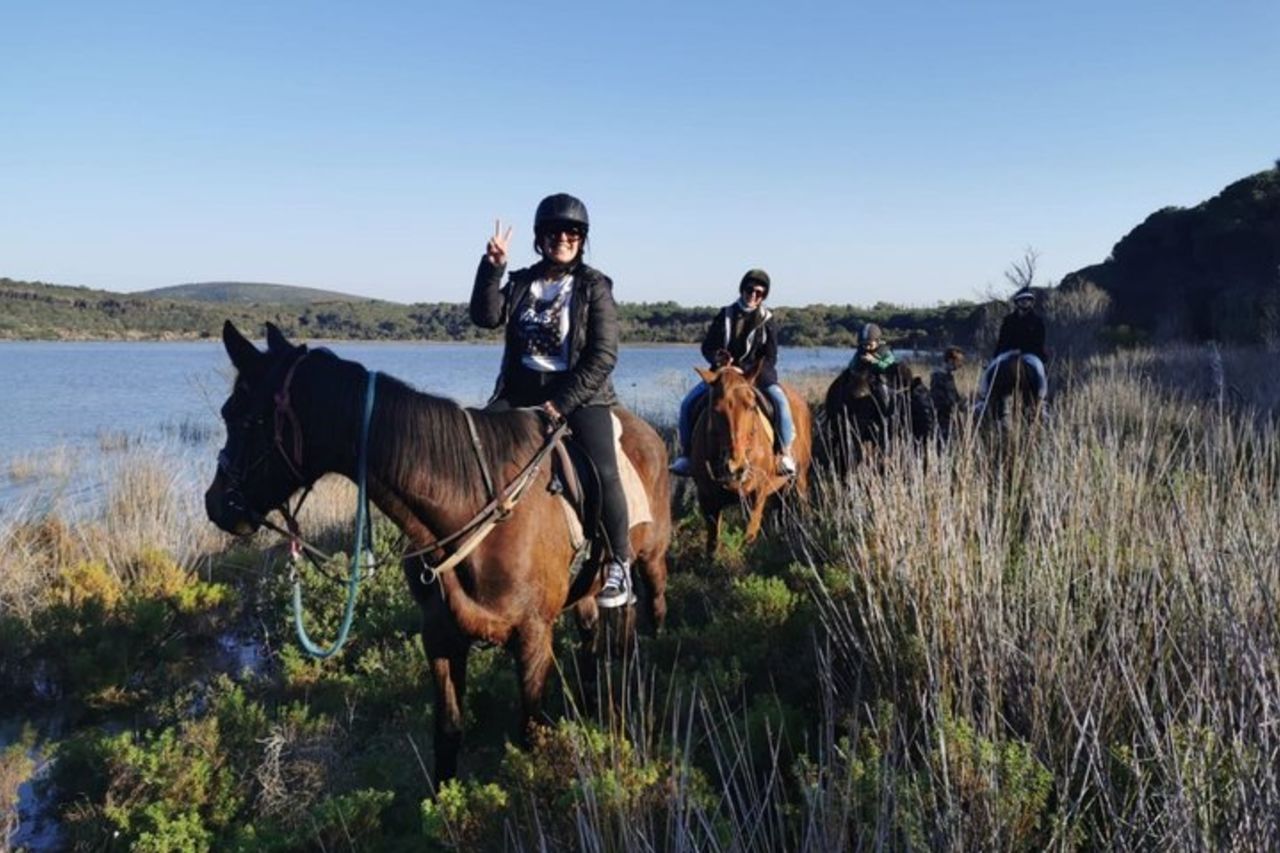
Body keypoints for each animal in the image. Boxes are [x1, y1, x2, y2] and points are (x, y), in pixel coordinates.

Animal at [204, 322, 671, 781]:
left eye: (242, 417)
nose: (217, 504)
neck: (471, 508)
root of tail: (647, 431)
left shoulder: (533, 636)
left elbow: (529, 733)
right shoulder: (441, 637)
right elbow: (447, 736)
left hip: (648, 559)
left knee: (648, 609)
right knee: (592, 634)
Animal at [689, 363, 811, 556]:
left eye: (752, 406)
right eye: (715, 410)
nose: (736, 467)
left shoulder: (757, 494)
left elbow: (749, 534)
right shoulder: (707, 497)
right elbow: (712, 542)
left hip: (800, 477)